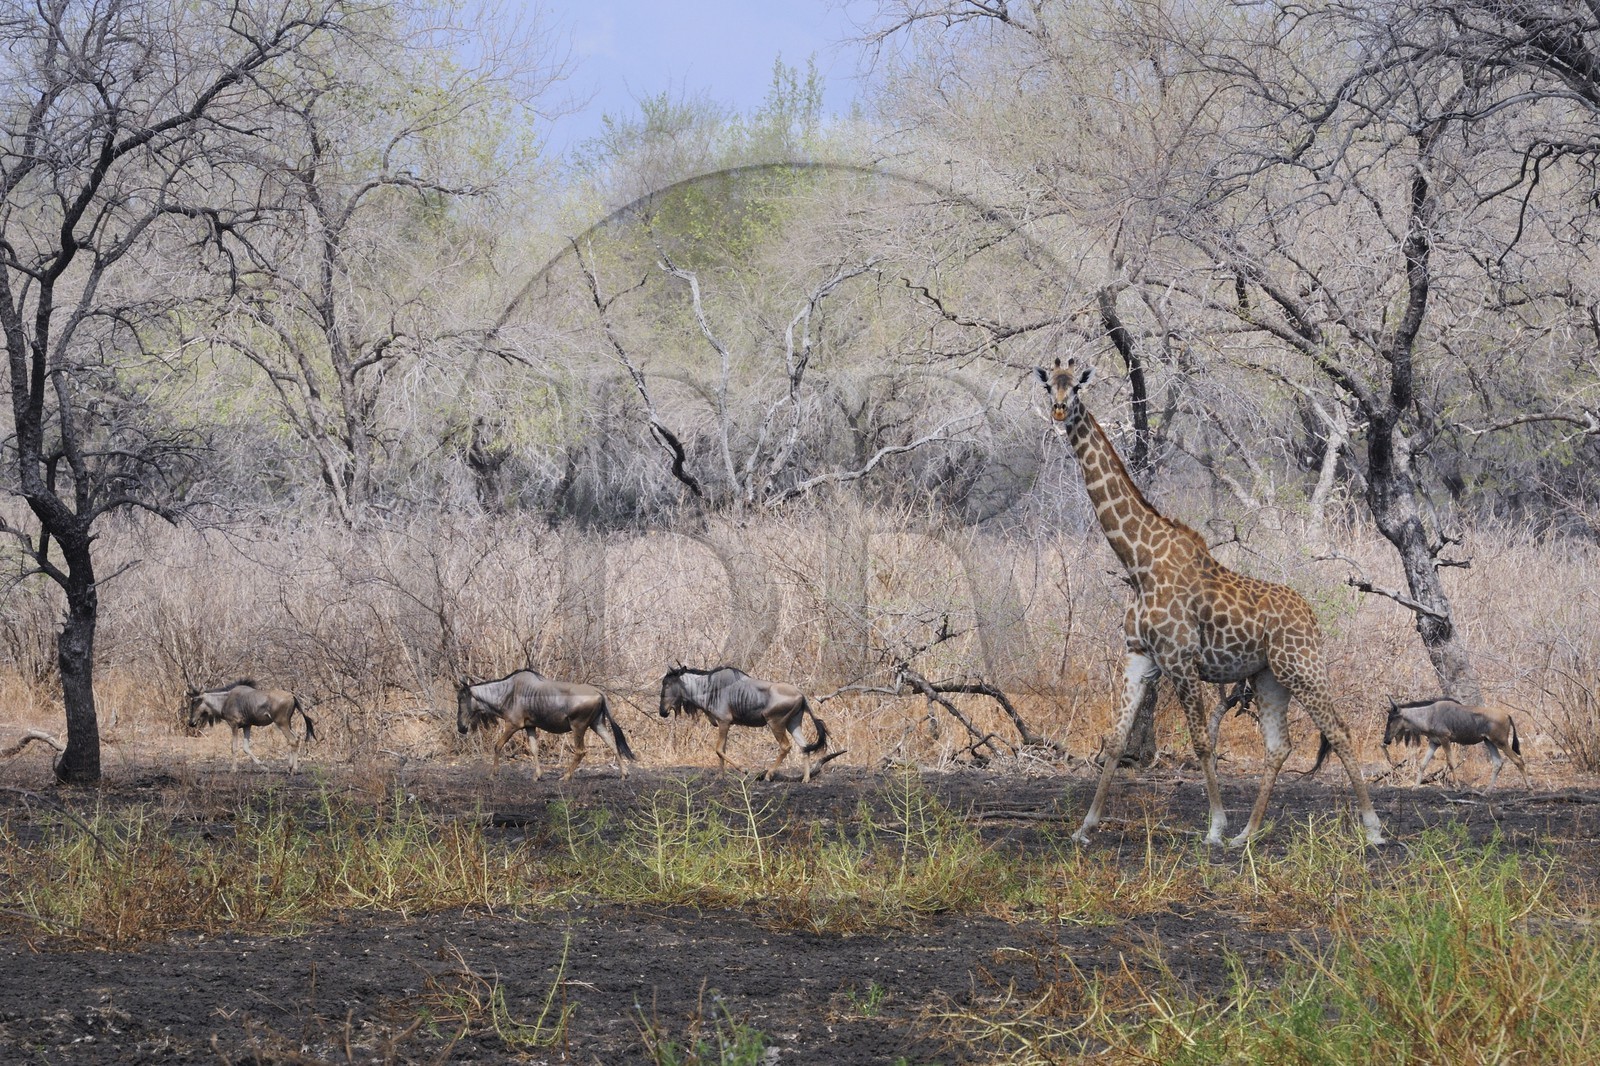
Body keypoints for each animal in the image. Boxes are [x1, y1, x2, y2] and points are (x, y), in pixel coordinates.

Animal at [1037, 356, 1386, 846]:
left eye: (1077, 387)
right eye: (1048, 384)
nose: (1059, 410)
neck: (1138, 561)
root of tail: (1312, 618)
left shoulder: (1180, 659)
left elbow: (1202, 740)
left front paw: (1215, 827)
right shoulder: (1139, 655)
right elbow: (1117, 739)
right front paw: (1085, 827)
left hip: (1301, 666)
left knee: (1338, 729)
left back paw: (1372, 829)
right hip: (1268, 676)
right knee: (1279, 746)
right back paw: (1248, 834)